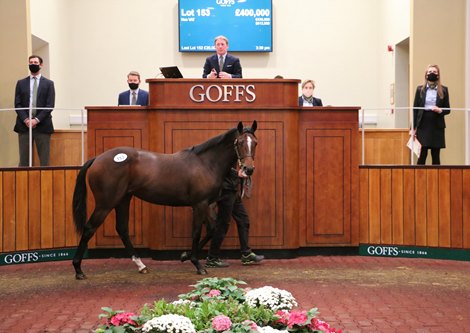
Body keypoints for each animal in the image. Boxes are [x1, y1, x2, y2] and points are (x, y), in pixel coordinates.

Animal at [71, 121, 258, 278]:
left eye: (255, 143)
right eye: (239, 142)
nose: (248, 169)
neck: (205, 163)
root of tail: (97, 159)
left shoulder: (208, 204)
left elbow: (212, 230)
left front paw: (185, 255)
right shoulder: (199, 204)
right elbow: (196, 232)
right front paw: (197, 264)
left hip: (123, 199)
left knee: (122, 229)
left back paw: (141, 265)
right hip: (106, 203)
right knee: (89, 228)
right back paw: (78, 270)